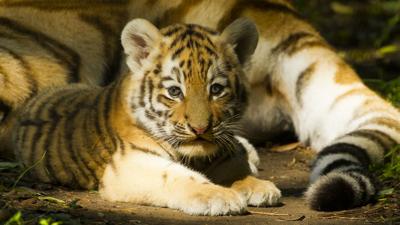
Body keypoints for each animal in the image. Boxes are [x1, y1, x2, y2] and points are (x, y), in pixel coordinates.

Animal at [0, 0, 400, 211]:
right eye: (174, 91)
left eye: (217, 89)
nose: (199, 127)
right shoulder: (130, 165)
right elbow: (175, 176)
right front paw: (220, 197)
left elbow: (231, 163)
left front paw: (255, 185)